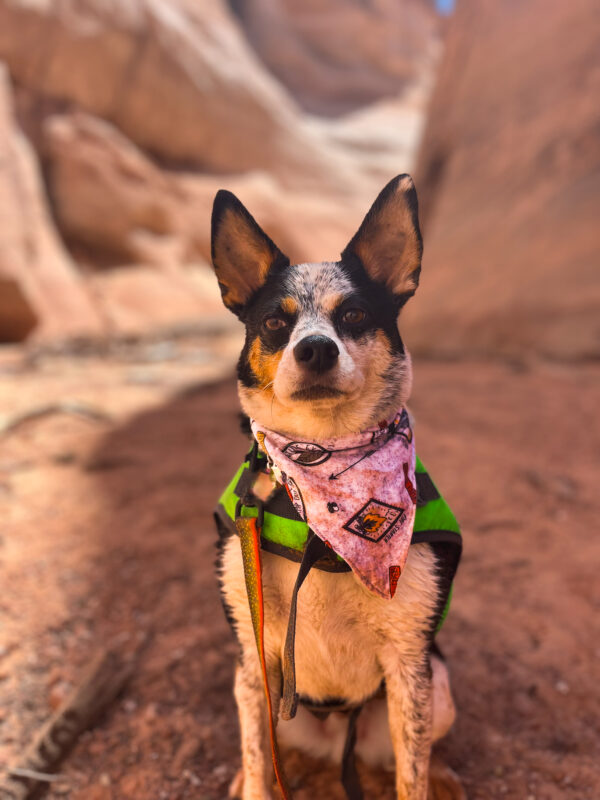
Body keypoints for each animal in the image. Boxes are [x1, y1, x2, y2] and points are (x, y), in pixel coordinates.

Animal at [211, 177, 464, 800]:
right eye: (275, 324)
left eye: (353, 314)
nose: (316, 348)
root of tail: (334, 740)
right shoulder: (253, 658)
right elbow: (259, 762)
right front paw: (251, 779)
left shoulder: (410, 665)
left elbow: (411, 775)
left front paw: (426, 777)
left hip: (440, 685)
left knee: (422, 752)